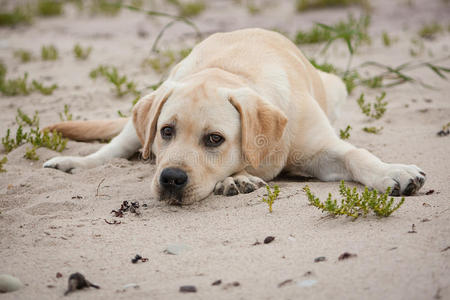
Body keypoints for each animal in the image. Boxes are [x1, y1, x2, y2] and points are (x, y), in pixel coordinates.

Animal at [42, 28, 426, 205]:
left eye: (215, 139)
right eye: (166, 131)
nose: (170, 179)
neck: (229, 72)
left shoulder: (323, 149)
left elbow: (358, 155)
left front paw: (393, 172)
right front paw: (236, 179)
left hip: (335, 87)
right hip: (147, 109)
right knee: (114, 147)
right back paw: (73, 164)